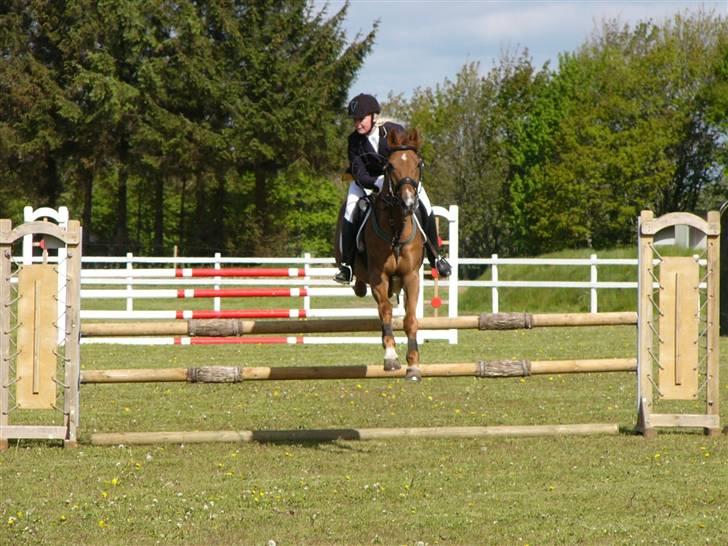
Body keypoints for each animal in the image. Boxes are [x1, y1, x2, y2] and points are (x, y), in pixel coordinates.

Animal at [332, 126, 424, 378]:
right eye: (390, 166)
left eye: (418, 164)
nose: (409, 203)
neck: (395, 227)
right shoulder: (379, 277)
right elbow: (386, 311)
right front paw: (391, 357)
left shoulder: (411, 276)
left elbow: (410, 319)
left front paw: (413, 365)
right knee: (364, 290)